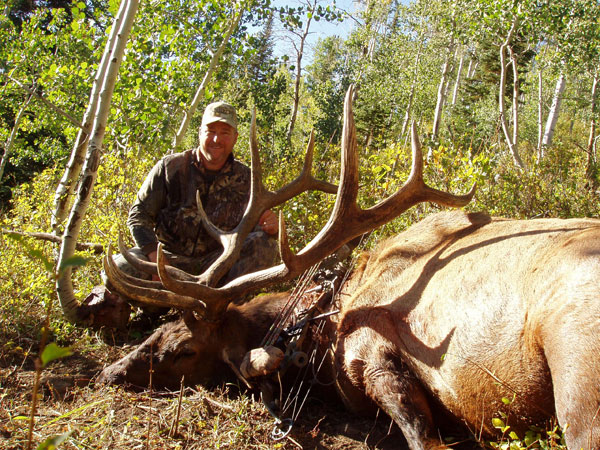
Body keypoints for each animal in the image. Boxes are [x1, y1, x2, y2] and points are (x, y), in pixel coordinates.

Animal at [98, 88, 600, 450]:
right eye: (156, 332)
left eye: (183, 350)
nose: (110, 373)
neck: (319, 327)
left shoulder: (371, 349)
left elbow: (426, 439)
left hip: (577, 370)